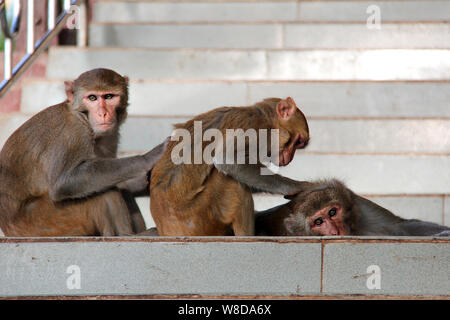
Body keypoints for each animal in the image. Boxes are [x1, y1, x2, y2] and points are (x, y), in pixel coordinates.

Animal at [0, 68, 168, 238]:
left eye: (109, 96)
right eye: (92, 98)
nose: (103, 113)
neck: (83, 117)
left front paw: (141, 182)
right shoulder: (72, 133)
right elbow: (64, 181)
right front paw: (148, 158)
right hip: (48, 222)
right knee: (105, 192)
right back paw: (129, 236)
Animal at [150, 96, 310, 236]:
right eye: (298, 142)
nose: (289, 158)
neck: (266, 120)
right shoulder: (253, 128)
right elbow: (227, 159)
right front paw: (296, 186)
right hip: (200, 218)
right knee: (230, 181)